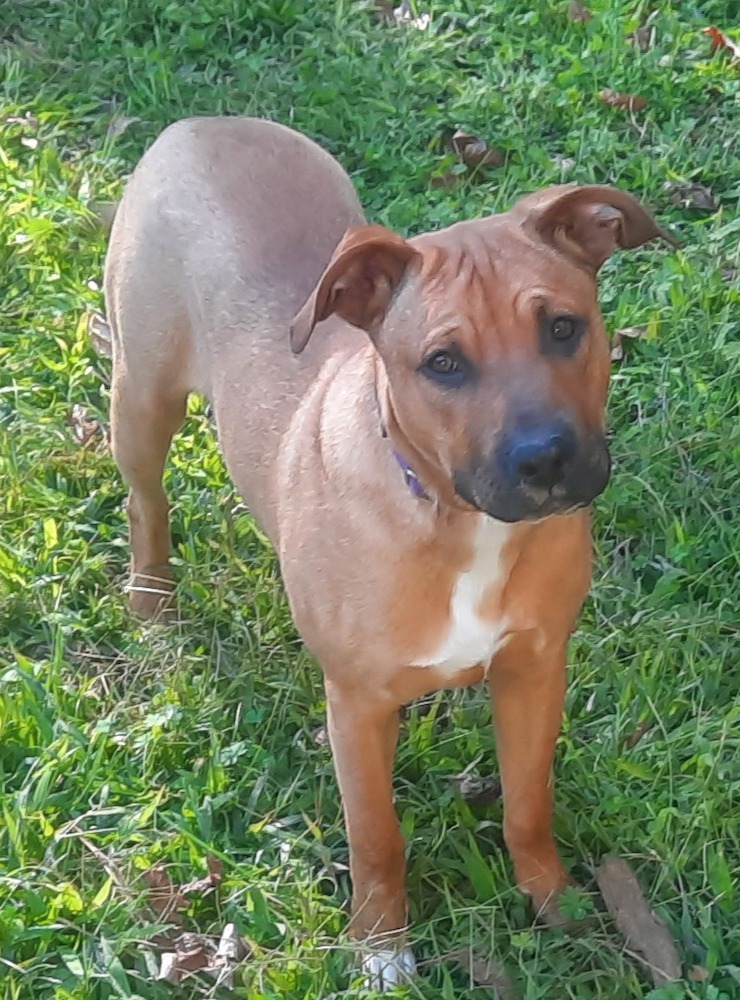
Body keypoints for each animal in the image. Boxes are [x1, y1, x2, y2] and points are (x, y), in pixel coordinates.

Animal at [105, 115, 676, 984]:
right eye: (443, 364)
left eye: (563, 328)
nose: (545, 460)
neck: (456, 519)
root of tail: (202, 123)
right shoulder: (359, 706)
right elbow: (376, 837)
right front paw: (379, 947)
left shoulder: (534, 668)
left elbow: (528, 803)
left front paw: (555, 902)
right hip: (140, 393)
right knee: (146, 501)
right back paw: (151, 604)